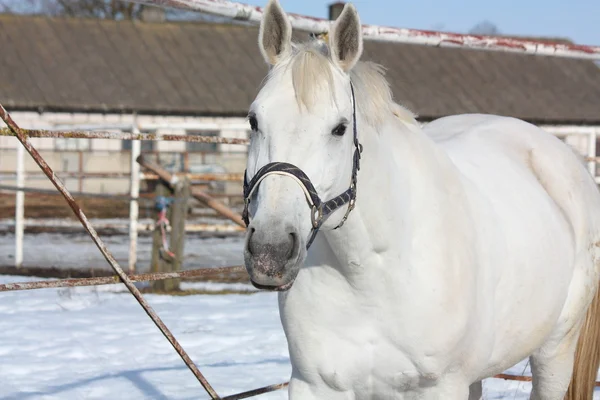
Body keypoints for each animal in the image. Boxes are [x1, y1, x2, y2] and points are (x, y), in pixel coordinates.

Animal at [241, 1, 600, 398]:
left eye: (339, 128)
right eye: (254, 121)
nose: (270, 251)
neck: (372, 273)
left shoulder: (441, 386)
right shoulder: (313, 384)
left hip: (555, 351)